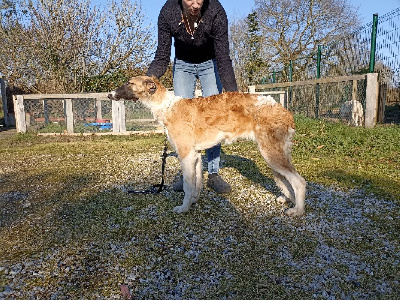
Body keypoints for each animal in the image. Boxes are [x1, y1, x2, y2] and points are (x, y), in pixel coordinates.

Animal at [109, 75, 306, 216]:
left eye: (129, 83)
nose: (109, 94)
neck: (167, 107)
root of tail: (283, 110)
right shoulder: (195, 155)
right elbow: (196, 184)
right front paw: (193, 201)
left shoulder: (186, 154)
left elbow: (188, 185)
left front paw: (183, 208)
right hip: (273, 157)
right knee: (287, 181)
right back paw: (288, 200)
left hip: (271, 154)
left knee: (299, 181)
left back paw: (297, 211)